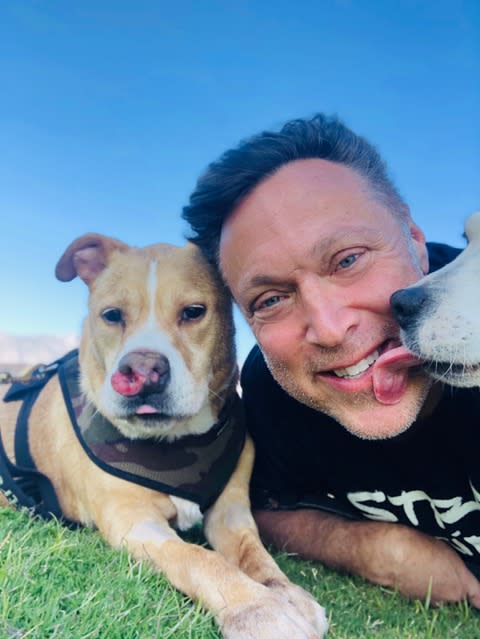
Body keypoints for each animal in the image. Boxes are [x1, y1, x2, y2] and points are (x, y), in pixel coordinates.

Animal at [0, 234, 328, 639]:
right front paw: (258, 608)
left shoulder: (232, 514)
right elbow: (198, 558)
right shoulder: (135, 525)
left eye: (194, 311)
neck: (177, 439)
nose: (142, 371)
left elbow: (254, 553)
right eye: (112, 315)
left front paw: (284, 592)